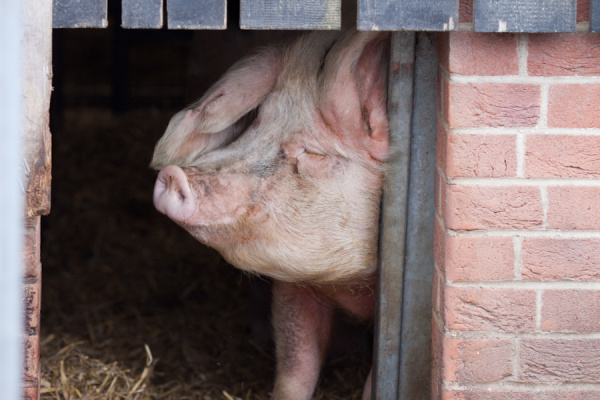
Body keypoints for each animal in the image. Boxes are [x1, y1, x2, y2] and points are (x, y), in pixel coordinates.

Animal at [151, 31, 390, 400]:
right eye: (255, 124)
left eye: (314, 154)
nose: (174, 175)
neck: (349, 285)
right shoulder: (295, 284)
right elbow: (296, 366)